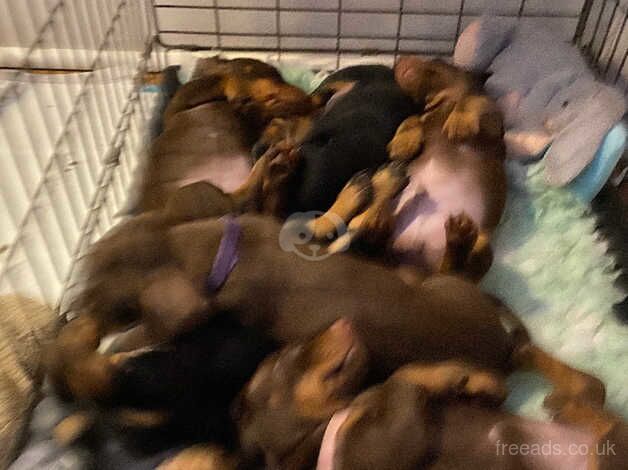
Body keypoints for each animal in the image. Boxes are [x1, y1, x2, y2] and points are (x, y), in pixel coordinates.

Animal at [237, 320, 628, 470]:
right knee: (599, 405)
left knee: (594, 391)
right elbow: (395, 379)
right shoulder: (386, 443)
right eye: (287, 357)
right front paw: (456, 376)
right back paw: (565, 404)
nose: (344, 322)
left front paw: (472, 380)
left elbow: (394, 380)